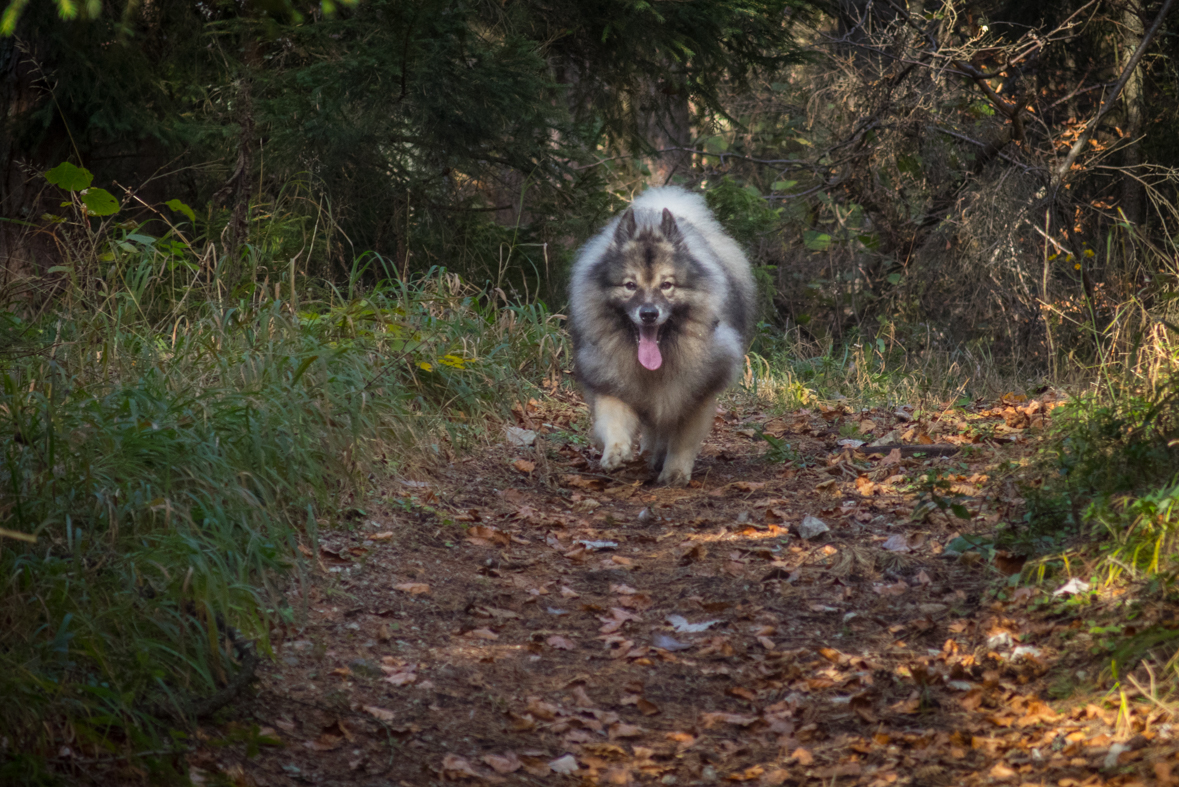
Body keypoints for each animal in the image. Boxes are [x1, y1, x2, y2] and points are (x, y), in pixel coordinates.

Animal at [568, 188, 754, 485]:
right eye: (630, 285)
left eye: (667, 285)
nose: (648, 314)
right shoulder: (611, 380)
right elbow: (613, 418)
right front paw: (615, 452)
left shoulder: (694, 394)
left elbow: (682, 439)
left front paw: (675, 472)